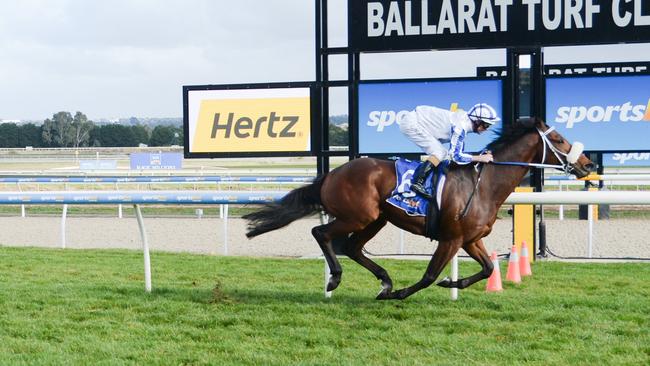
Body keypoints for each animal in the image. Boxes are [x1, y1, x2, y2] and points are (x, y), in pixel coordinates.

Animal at [242, 118, 592, 298]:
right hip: (359, 215)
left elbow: (489, 269)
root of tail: (333, 173)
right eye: (559, 140)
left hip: (376, 219)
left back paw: (384, 280)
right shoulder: (451, 238)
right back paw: (337, 279)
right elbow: (428, 275)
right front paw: (404, 292)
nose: (588, 164)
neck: (485, 184)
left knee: (351, 247)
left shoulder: (470, 239)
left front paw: (452, 283)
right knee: (322, 233)